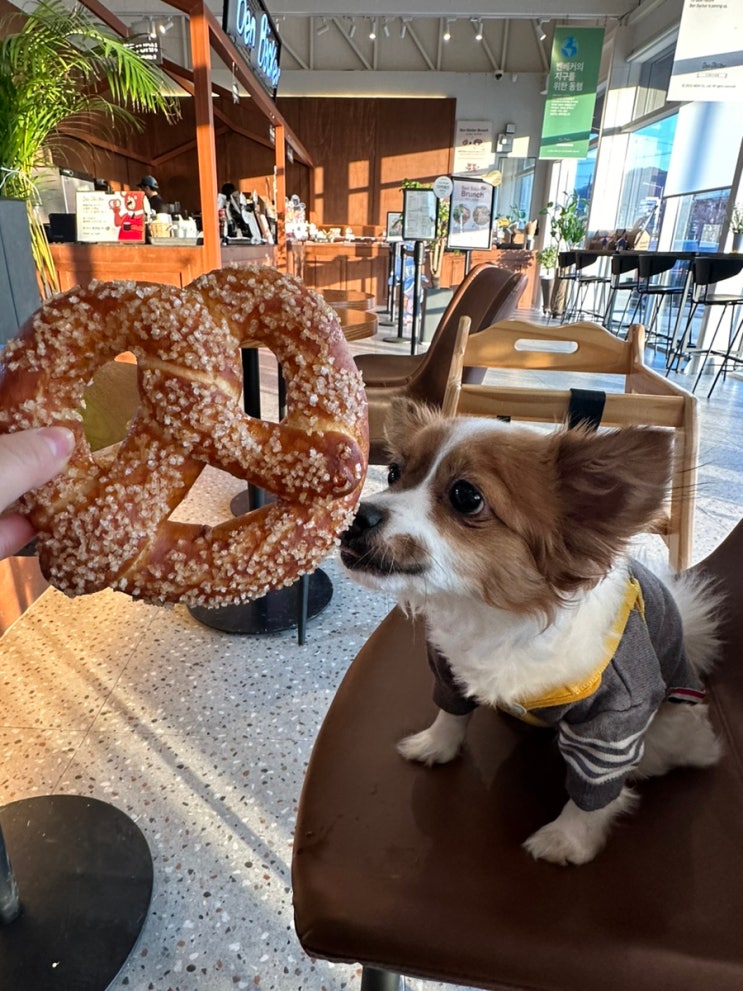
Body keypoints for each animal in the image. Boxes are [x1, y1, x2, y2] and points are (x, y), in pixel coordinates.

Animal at [342, 400, 720, 864]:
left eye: (466, 496)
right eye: (395, 473)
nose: (355, 515)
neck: (490, 615)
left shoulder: (613, 723)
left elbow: (593, 791)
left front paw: (569, 839)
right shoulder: (449, 670)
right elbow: (451, 711)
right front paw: (434, 745)